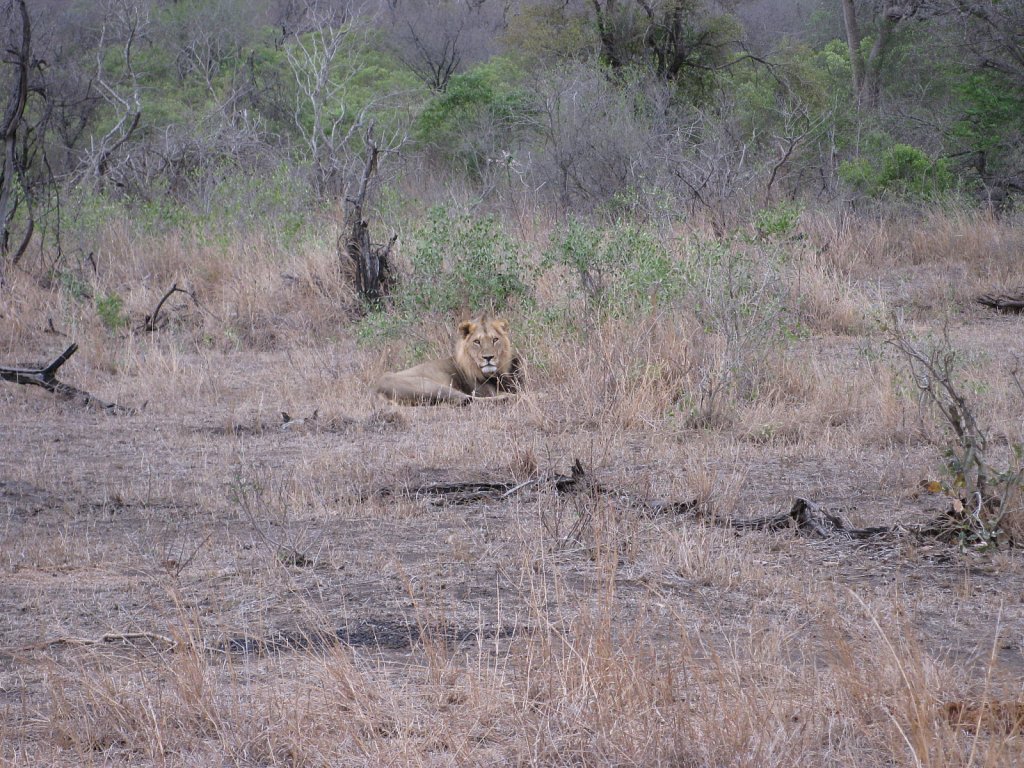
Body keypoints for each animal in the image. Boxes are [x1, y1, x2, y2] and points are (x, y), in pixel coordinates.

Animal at [372, 313, 524, 405]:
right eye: (477, 342)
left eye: (495, 339)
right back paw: (510, 397)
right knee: (467, 399)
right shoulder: (482, 390)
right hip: (434, 387)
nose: (488, 357)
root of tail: (377, 389)